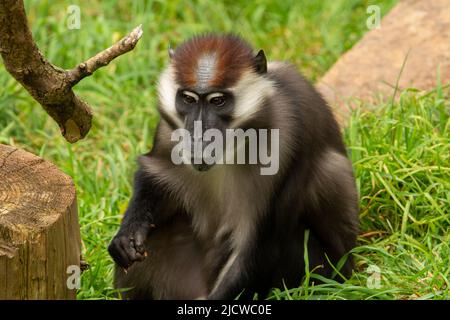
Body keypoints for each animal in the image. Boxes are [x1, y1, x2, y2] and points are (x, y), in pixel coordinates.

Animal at [106, 33, 358, 298]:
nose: (198, 133)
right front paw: (128, 234)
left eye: (218, 101)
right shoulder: (169, 129)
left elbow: (259, 244)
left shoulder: (288, 136)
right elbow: (155, 175)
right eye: (188, 99)